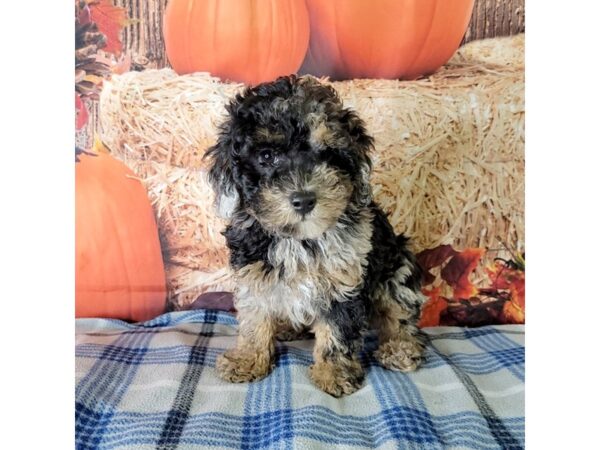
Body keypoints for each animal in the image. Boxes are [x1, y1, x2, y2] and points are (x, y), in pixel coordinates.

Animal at [206, 74, 426, 398]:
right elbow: (254, 318)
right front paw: (247, 359)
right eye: (267, 156)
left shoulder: (345, 281)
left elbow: (337, 330)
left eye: (328, 154)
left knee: (400, 313)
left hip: (398, 267)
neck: (297, 239)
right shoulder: (253, 274)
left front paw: (334, 373)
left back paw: (400, 348)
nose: (304, 199)